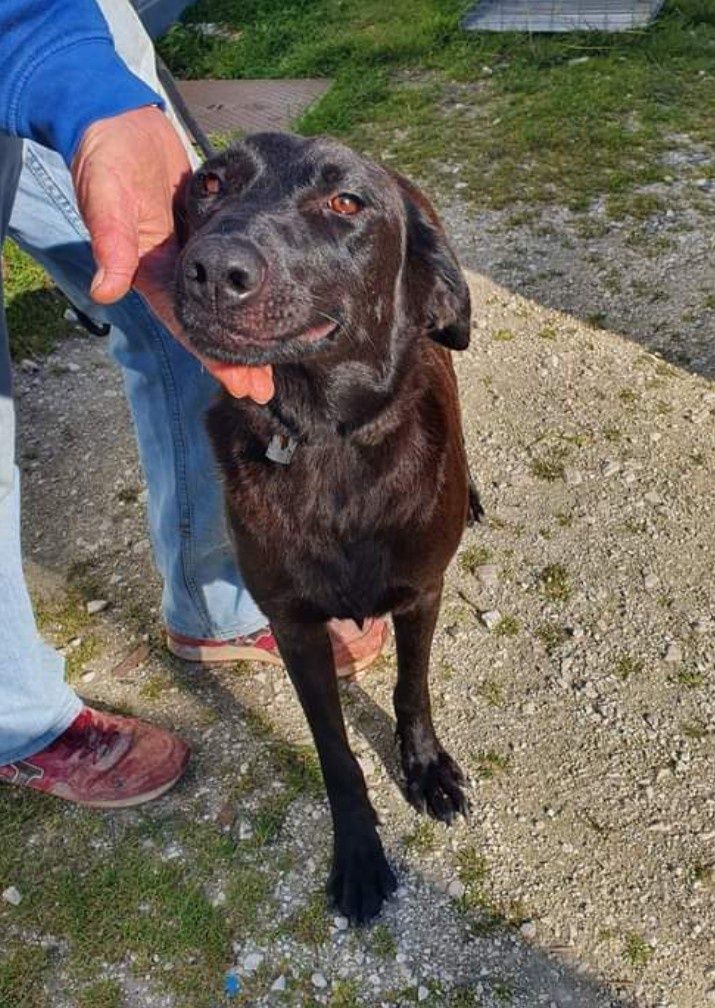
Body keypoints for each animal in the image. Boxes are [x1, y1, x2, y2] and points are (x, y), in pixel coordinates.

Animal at [175, 132, 480, 923]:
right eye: (209, 184)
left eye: (346, 202)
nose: (213, 270)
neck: (326, 443)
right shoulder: (294, 626)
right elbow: (334, 751)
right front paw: (360, 854)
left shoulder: (421, 592)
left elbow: (411, 690)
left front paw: (425, 768)